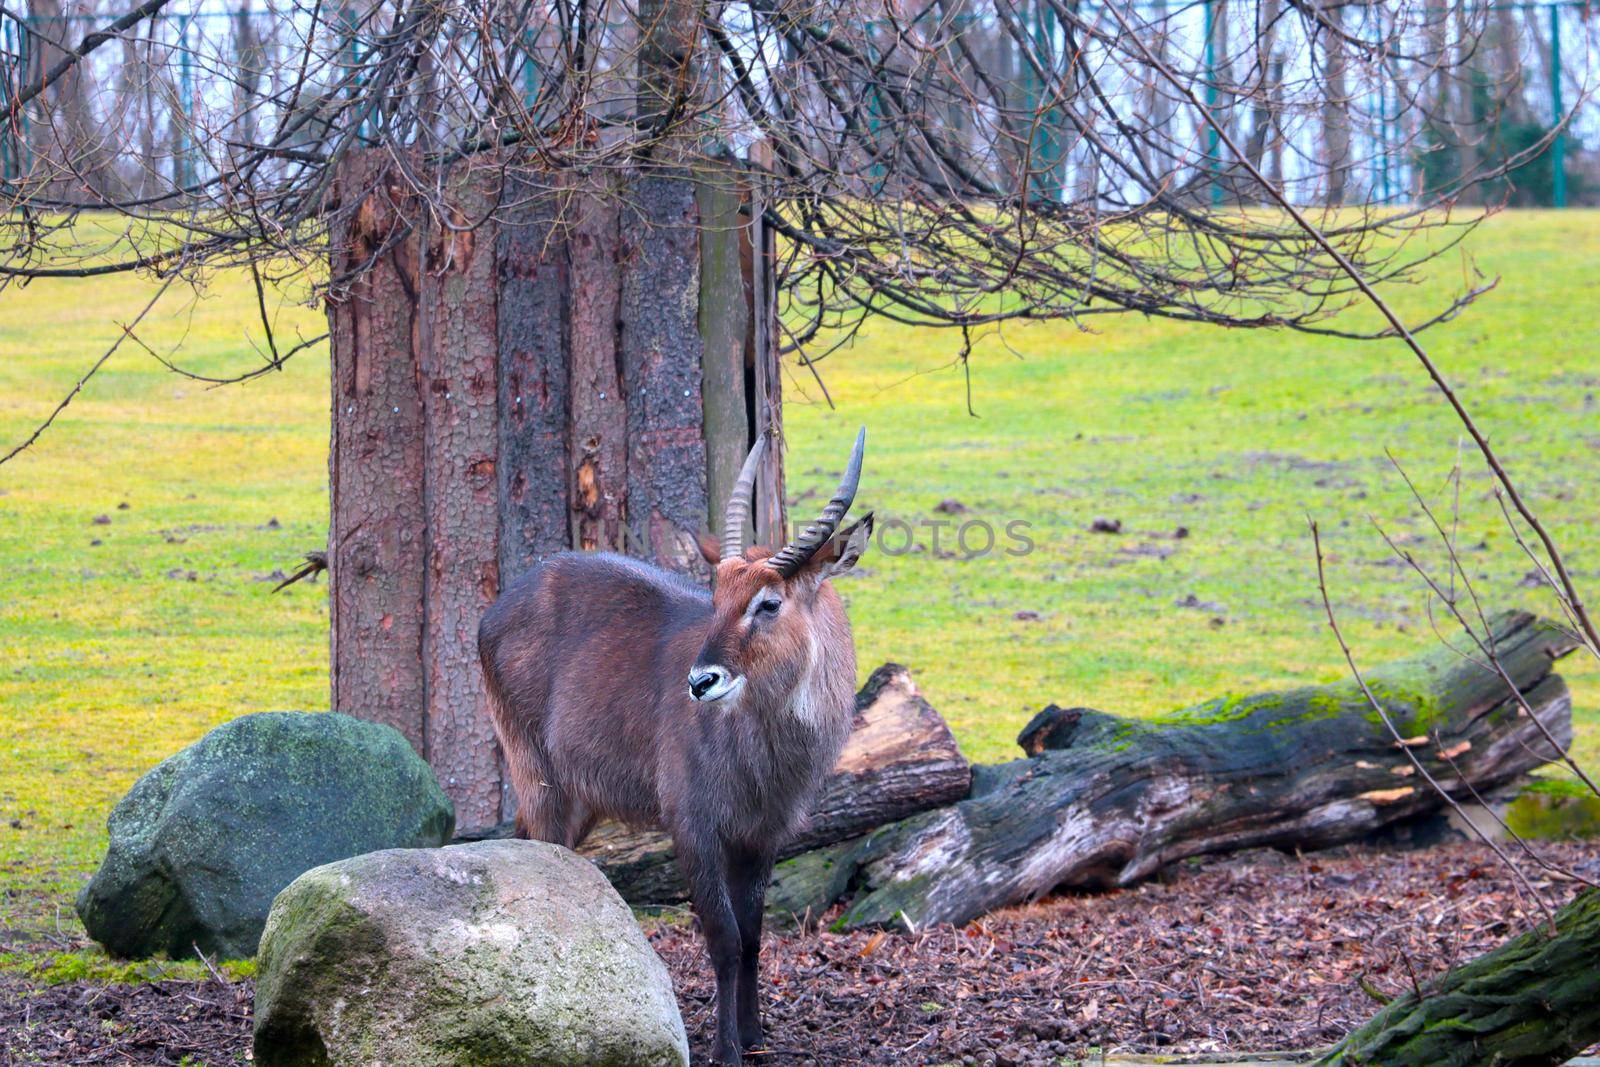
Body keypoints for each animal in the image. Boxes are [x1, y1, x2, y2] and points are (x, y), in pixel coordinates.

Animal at [473, 428, 876, 1067]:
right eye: (716, 598)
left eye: (768, 602)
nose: (700, 681)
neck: (766, 752)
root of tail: (499, 607)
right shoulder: (694, 825)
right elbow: (725, 938)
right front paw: (727, 1050)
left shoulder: (764, 835)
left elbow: (755, 934)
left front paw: (756, 1036)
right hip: (537, 774)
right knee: (541, 853)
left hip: (583, 797)